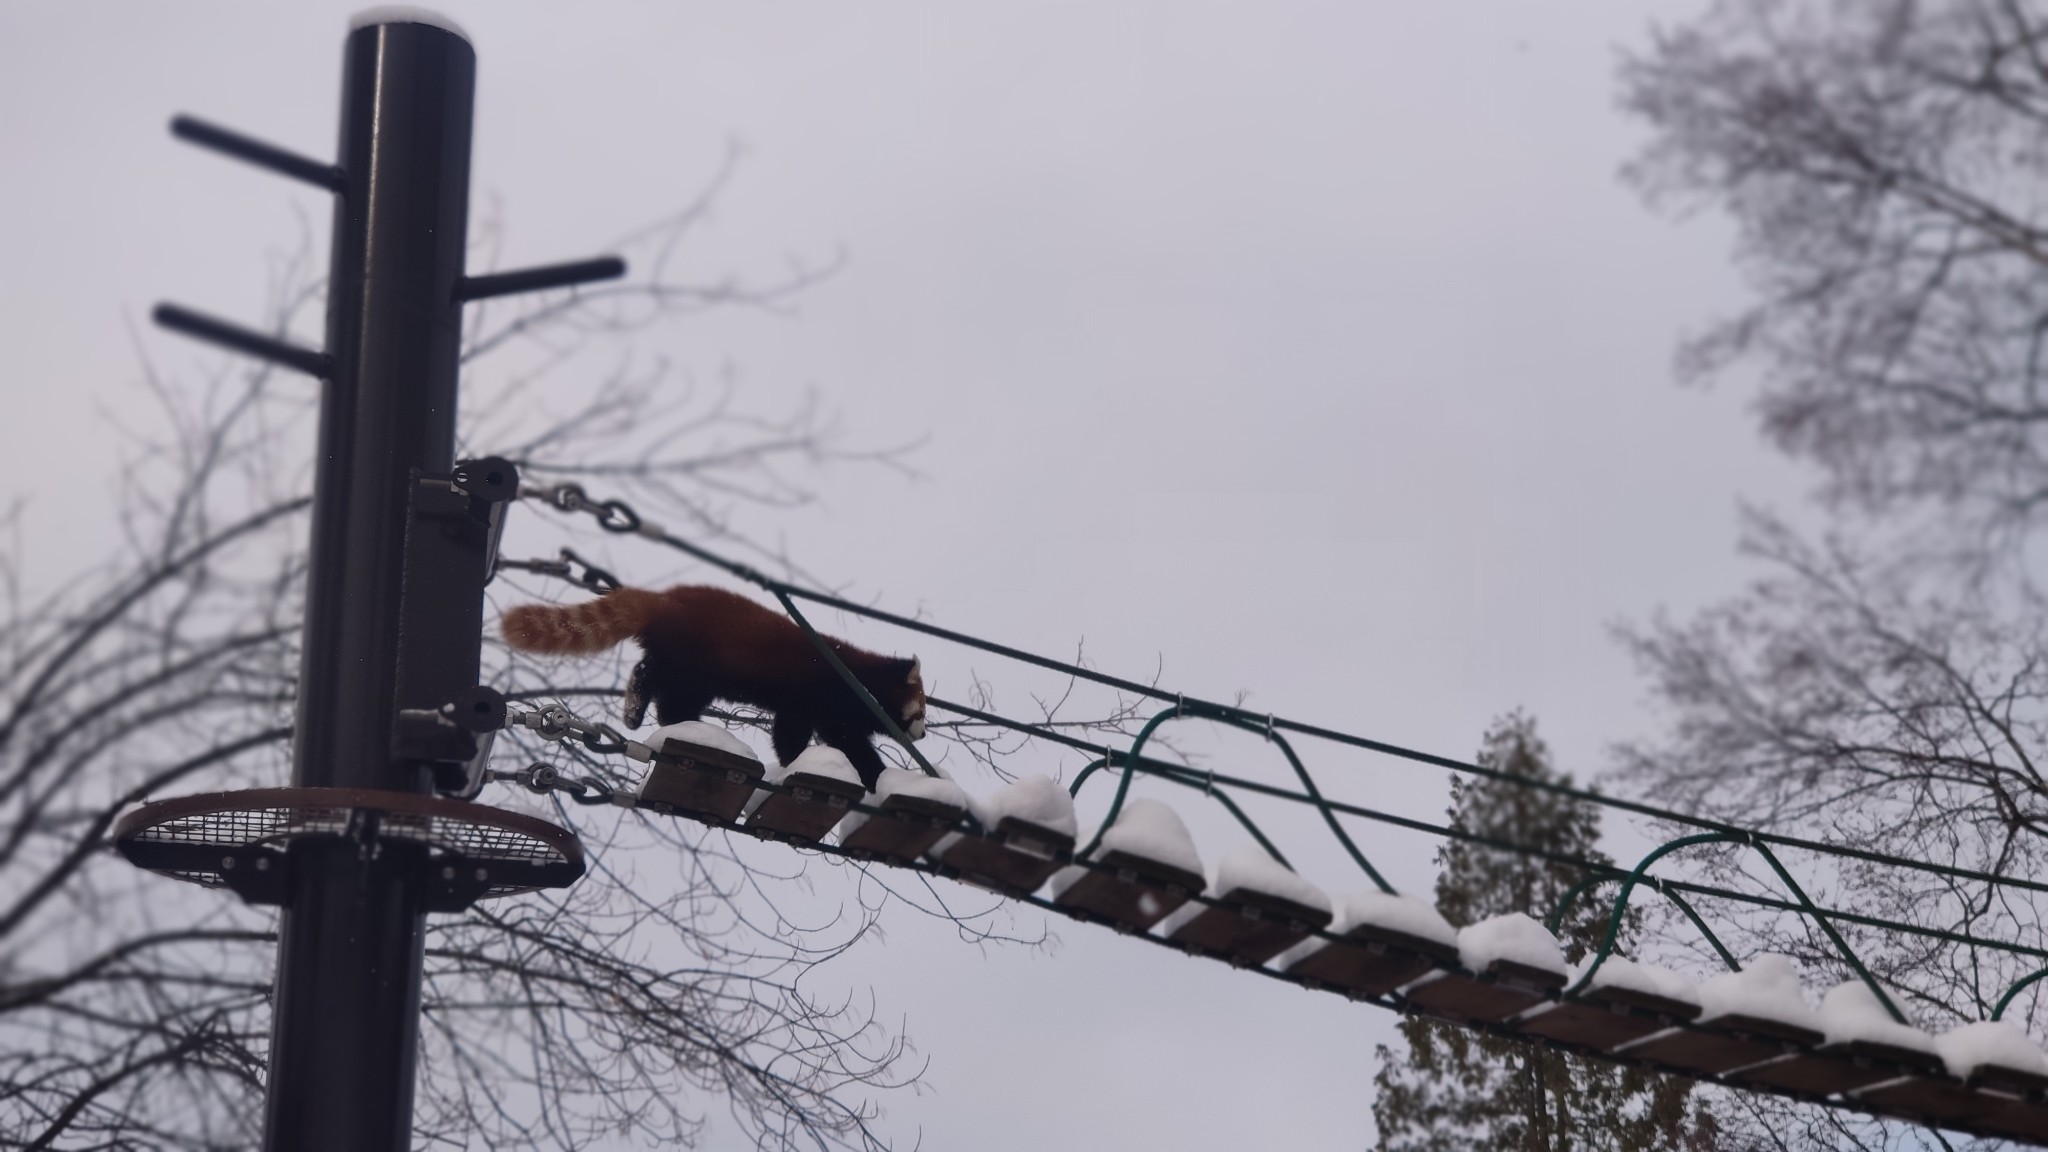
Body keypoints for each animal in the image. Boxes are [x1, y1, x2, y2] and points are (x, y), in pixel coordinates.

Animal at [503, 582, 929, 787]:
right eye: (922, 711)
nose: (923, 734)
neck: (861, 679)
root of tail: (667, 599)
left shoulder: (827, 710)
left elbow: (836, 739)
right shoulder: (818, 694)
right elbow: (800, 735)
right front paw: (803, 763)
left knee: (657, 680)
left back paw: (651, 713)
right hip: (696, 659)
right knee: (665, 684)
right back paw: (666, 719)